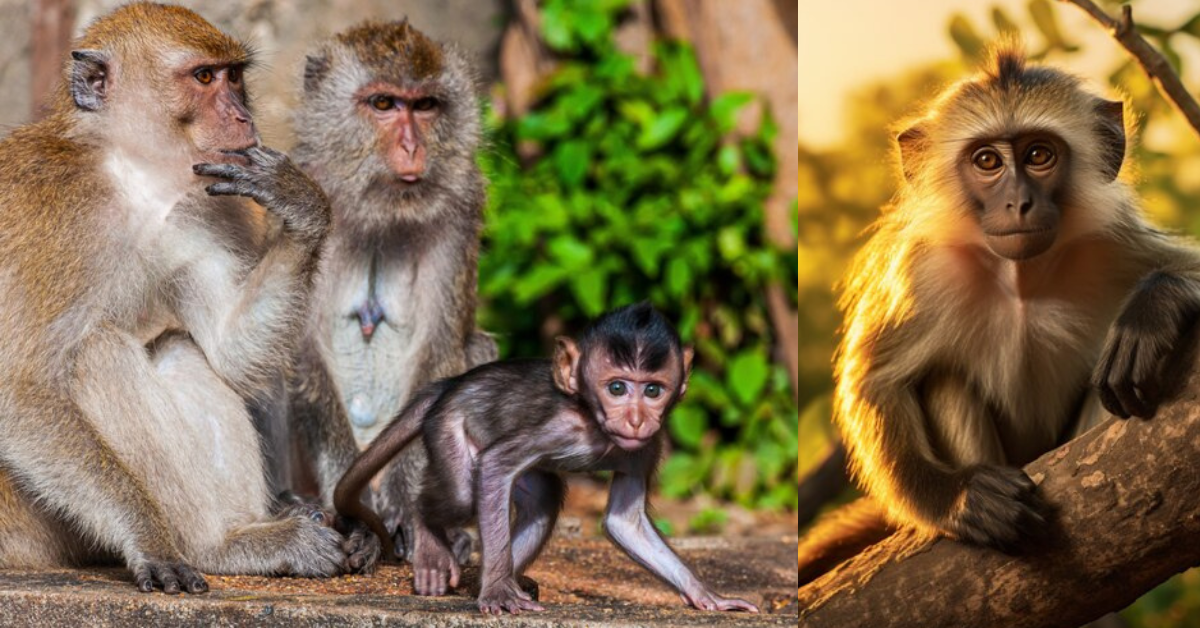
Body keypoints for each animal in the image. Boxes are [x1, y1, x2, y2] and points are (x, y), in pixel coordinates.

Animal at [0, 3, 362, 593]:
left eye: (234, 76)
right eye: (204, 77)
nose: (243, 117)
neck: (129, 174)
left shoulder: (205, 209)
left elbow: (229, 351)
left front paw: (302, 205)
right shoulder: (55, 214)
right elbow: (20, 389)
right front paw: (148, 537)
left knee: (177, 346)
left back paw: (243, 537)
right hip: (28, 521)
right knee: (95, 353)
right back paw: (209, 546)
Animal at [274, 19, 495, 569]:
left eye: (425, 105)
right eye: (383, 104)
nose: (414, 149)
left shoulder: (461, 209)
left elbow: (440, 351)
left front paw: (405, 512)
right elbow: (303, 353)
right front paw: (357, 519)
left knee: (479, 350)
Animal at [334, 303, 760, 615]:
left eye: (653, 390)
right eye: (617, 388)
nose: (637, 420)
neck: (595, 423)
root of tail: (451, 384)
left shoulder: (647, 447)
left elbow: (625, 522)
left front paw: (705, 595)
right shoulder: (557, 426)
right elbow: (494, 465)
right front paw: (496, 593)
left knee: (543, 497)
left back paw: (495, 581)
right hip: (447, 426)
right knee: (460, 495)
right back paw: (434, 540)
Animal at [795, 44, 1200, 586]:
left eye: (1039, 155)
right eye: (987, 161)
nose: (1018, 202)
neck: (1022, 279)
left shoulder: (1112, 243)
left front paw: (1153, 308)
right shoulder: (925, 272)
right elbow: (872, 382)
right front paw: (957, 497)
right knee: (944, 379)